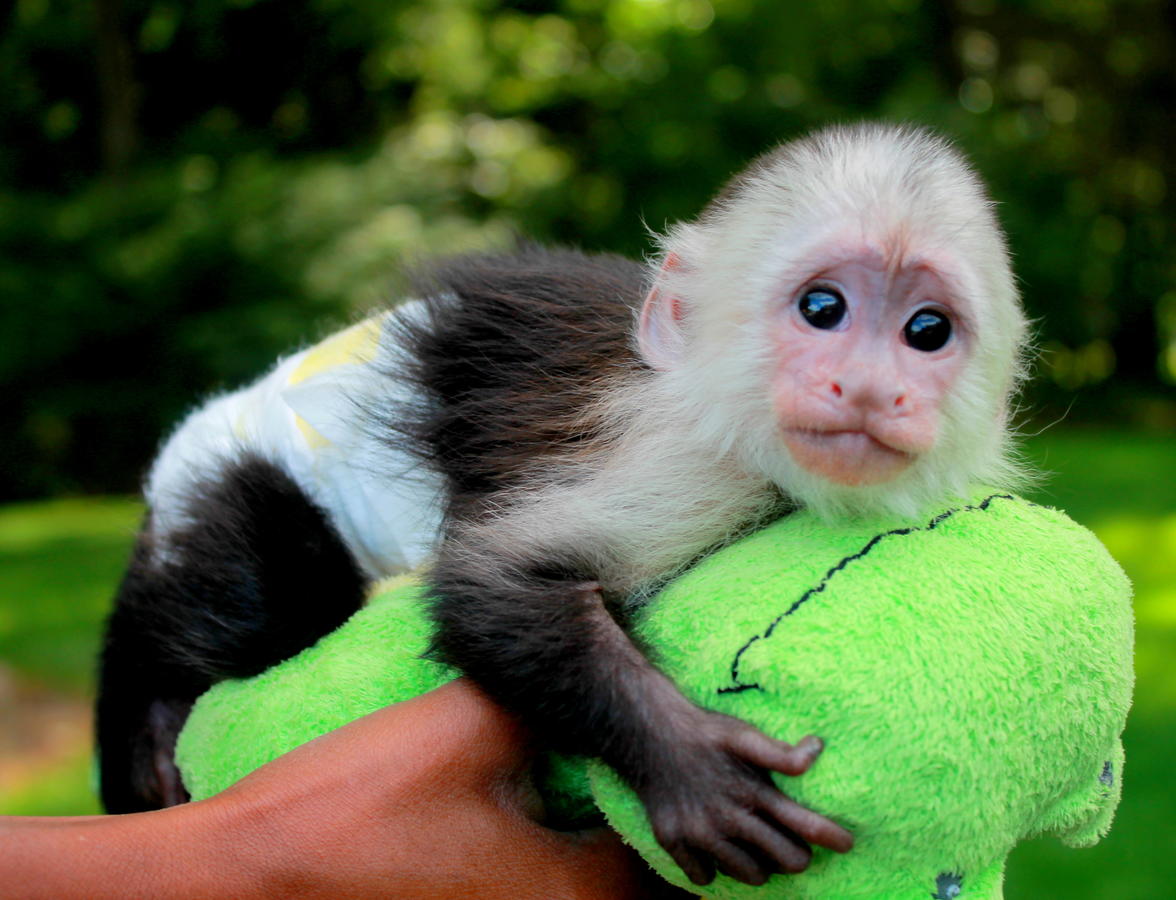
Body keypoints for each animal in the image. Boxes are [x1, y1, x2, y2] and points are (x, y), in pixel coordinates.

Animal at [98, 122, 1030, 889]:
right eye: (823, 308)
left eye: (926, 331)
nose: (870, 388)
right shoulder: (684, 456)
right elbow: (494, 582)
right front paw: (685, 760)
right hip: (218, 467)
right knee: (274, 600)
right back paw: (142, 705)